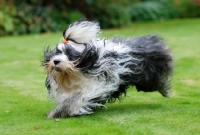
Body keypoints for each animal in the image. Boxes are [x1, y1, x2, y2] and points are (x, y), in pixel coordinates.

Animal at [41, 19, 173, 118]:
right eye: (57, 53)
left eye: (70, 55)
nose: (56, 61)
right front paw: (57, 112)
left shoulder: (94, 87)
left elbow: (77, 100)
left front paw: (61, 112)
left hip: (149, 78)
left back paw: (165, 91)